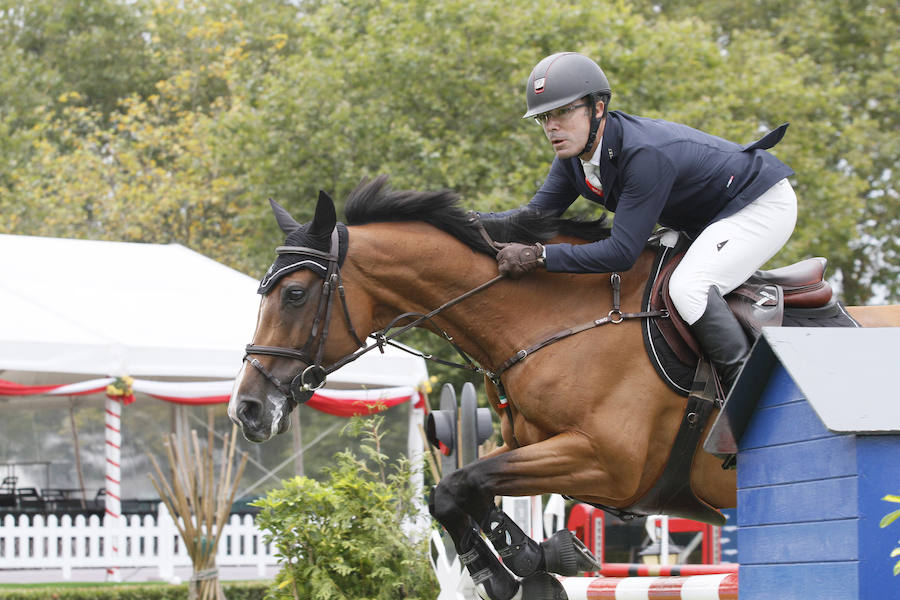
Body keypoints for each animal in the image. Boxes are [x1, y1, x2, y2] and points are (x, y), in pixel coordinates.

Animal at [229, 178, 900, 600]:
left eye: (295, 294)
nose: (248, 410)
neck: (557, 319)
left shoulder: (608, 463)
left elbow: (463, 482)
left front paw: (521, 568)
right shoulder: (534, 447)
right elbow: (456, 489)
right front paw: (536, 563)